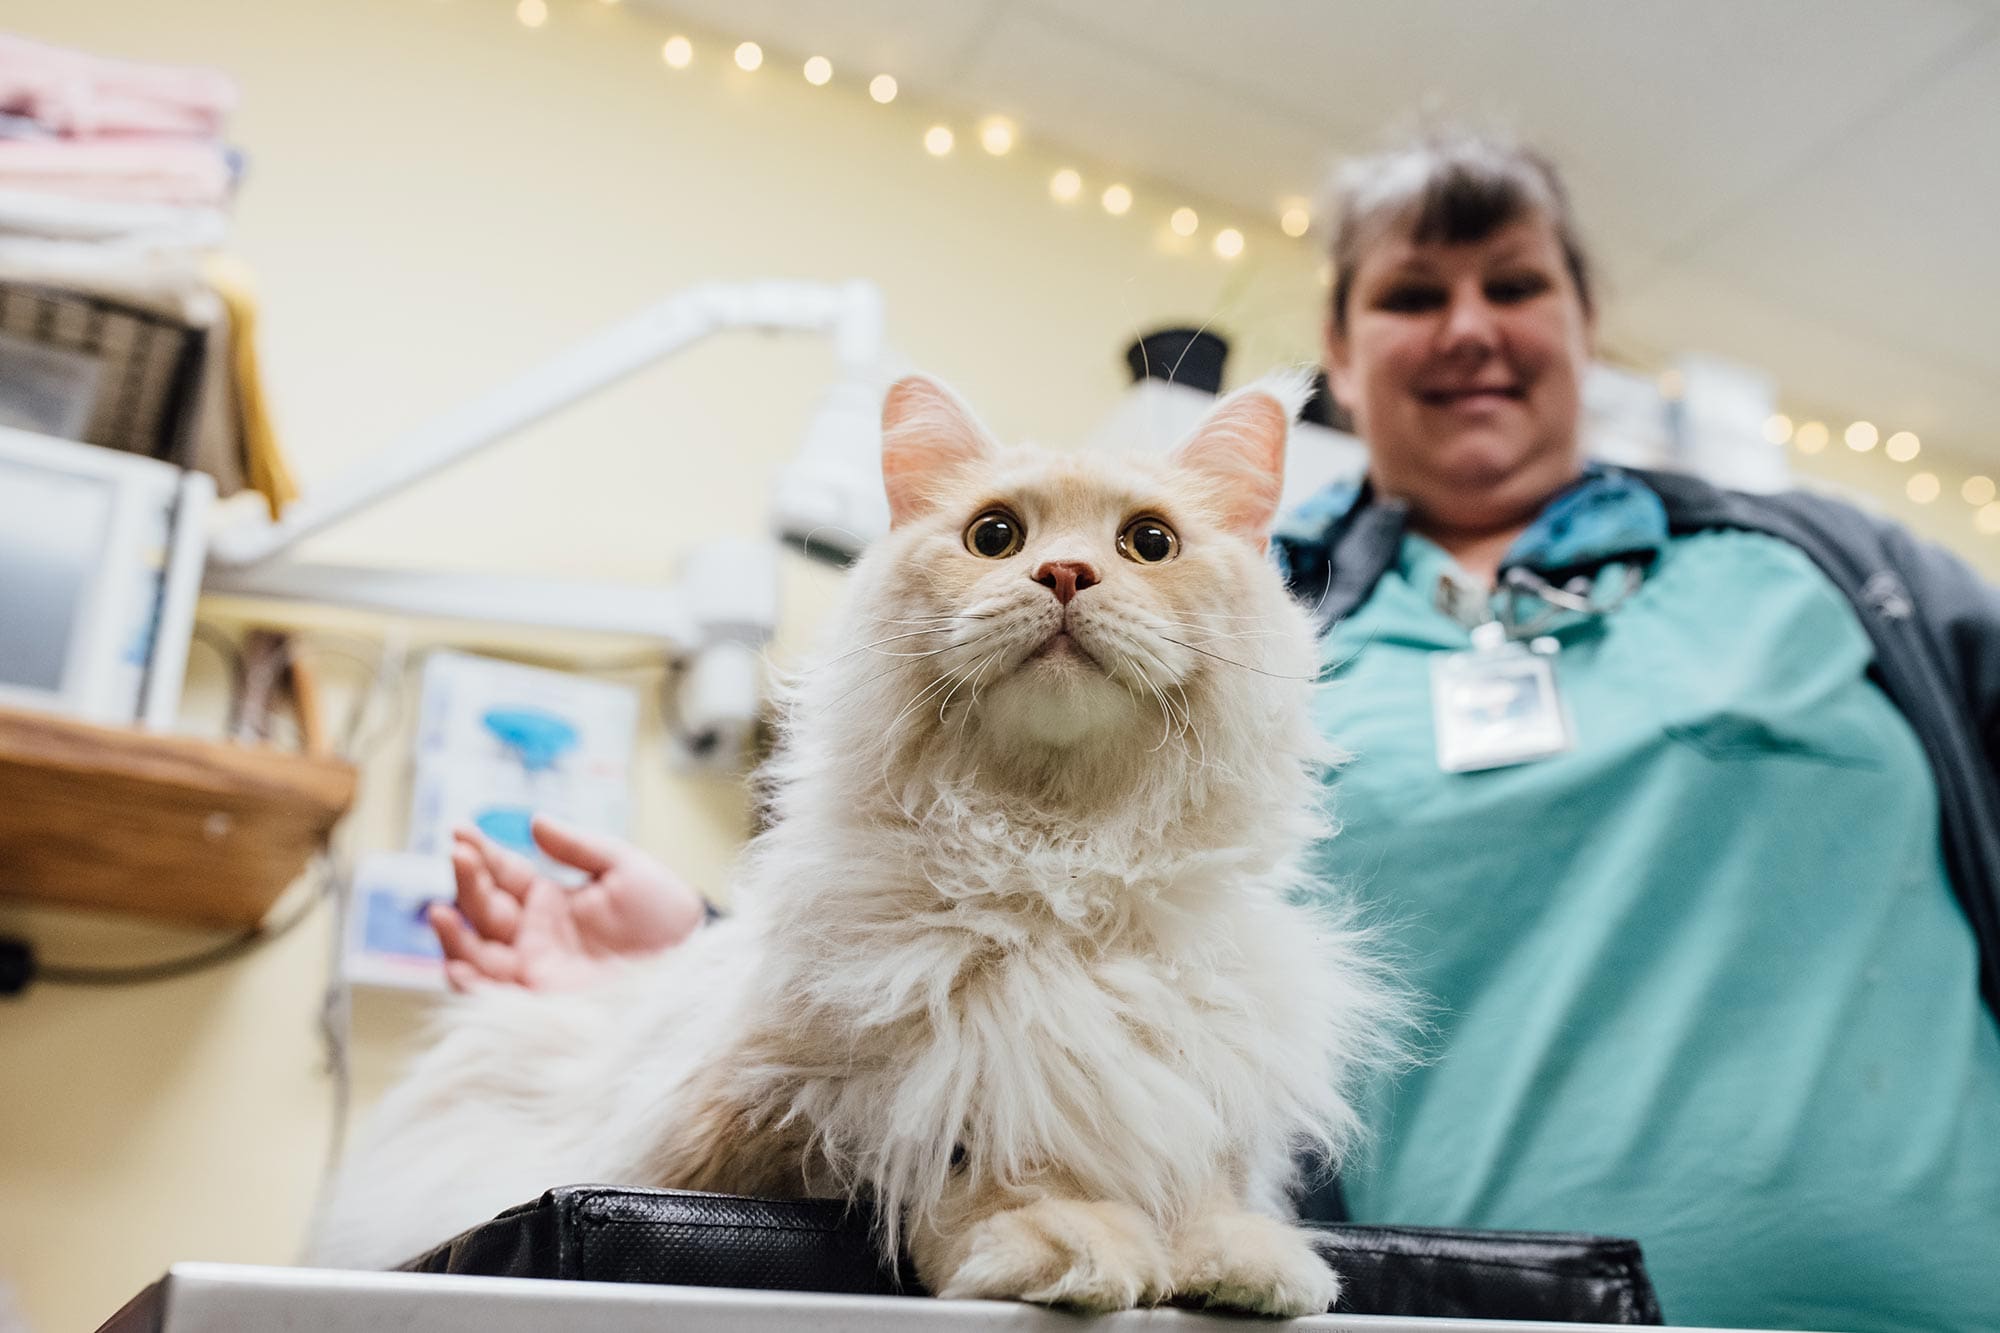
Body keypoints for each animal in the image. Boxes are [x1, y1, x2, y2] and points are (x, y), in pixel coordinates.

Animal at [316, 368, 1408, 1312]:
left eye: (1148, 542)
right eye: (994, 535)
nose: (1064, 572)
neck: (1054, 862)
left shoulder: (1192, 1074)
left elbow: (1205, 1170)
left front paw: (1240, 1259)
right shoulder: (789, 1110)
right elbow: (961, 1144)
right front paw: (1061, 1237)